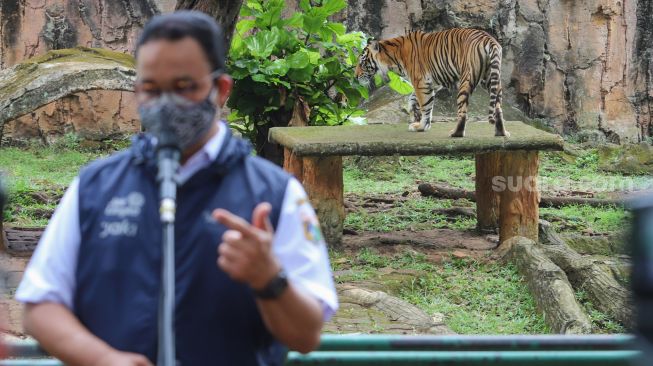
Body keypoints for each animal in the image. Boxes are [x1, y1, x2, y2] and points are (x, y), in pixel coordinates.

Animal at [354, 28, 506, 137]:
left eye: (362, 63)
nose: (355, 77)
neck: (393, 57)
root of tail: (489, 39)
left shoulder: (421, 82)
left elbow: (426, 105)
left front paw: (421, 126)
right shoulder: (433, 83)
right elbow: (413, 98)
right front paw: (414, 113)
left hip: (467, 79)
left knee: (463, 111)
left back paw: (456, 133)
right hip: (490, 79)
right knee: (498, 106)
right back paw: (501, 133)